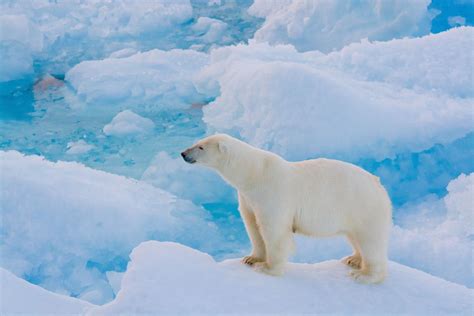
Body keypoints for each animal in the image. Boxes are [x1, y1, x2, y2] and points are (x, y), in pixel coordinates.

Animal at [181, 134, 392, 284]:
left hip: (363, 206)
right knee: (354, 236)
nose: (183, 153)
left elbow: (274, 231)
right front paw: (251, 259)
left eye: (201, 147)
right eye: (198, 141)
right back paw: (353, 259)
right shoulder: (249, 198)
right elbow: (253, 226)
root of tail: (379, 184)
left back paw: (365, 275)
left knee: (370, 240)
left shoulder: (272, 193)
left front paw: (267, 268)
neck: (254, 174)